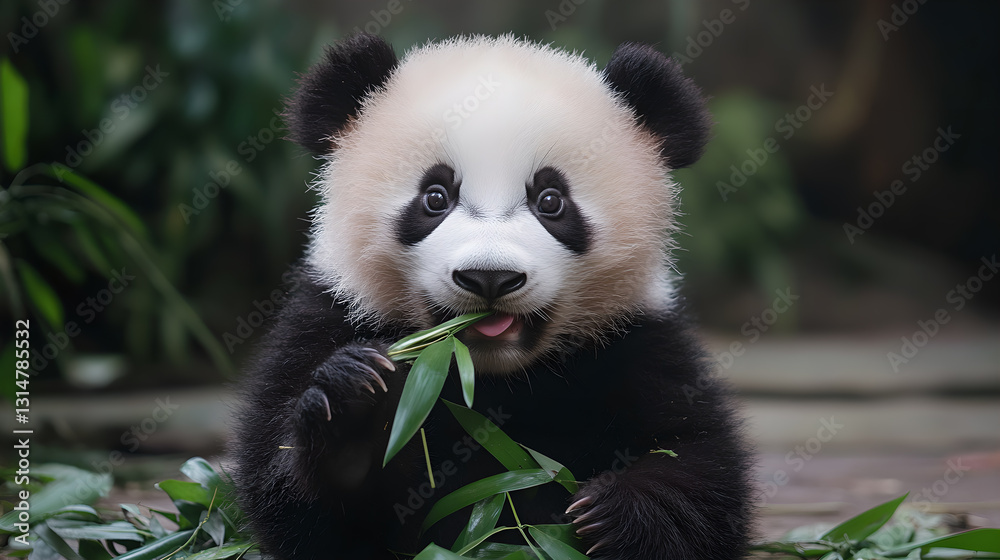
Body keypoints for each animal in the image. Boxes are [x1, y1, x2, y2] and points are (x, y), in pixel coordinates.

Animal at [232, 34, 753, 559]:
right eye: (435, 197)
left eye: (551, 201)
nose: (489, 277)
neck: (486, 376)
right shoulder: (329, 315)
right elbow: (297, 504)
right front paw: (355, 414)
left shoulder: (637, 340)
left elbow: (701, 464)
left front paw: (614, 512)